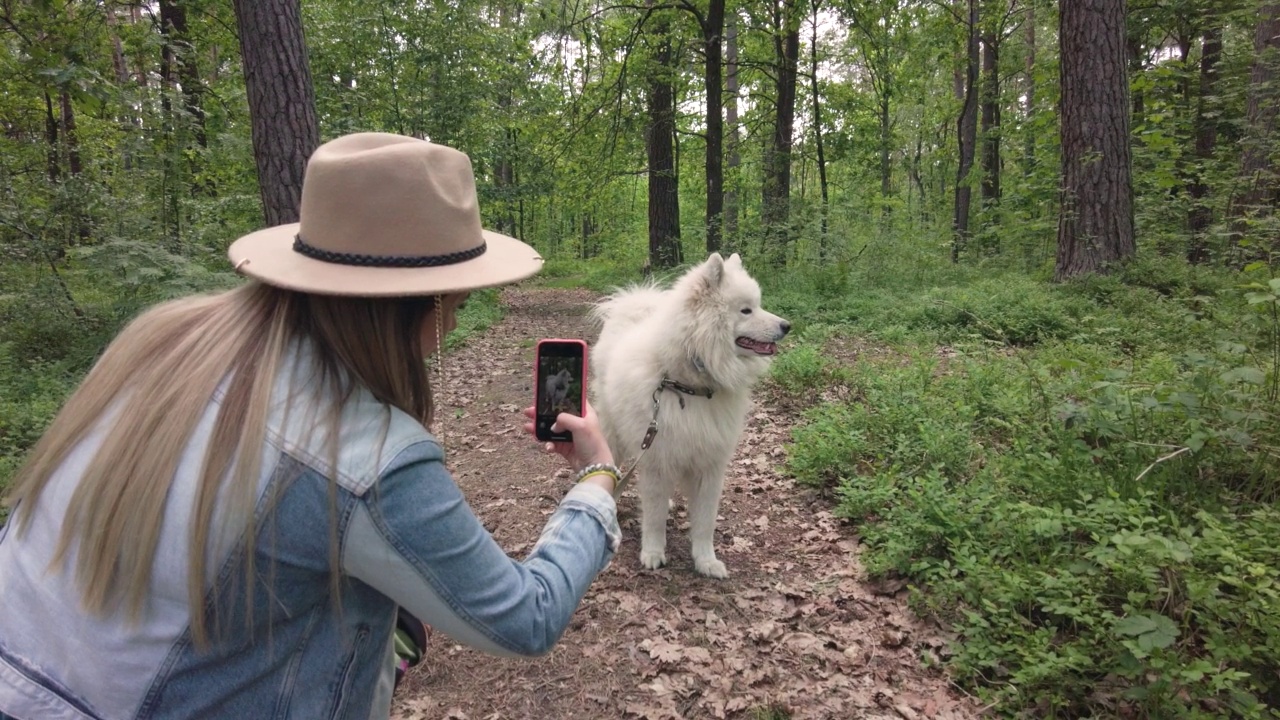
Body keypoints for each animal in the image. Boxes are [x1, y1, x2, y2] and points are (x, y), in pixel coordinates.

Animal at [588, 252, 788, 576]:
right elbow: (654, 517)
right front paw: (653, 553)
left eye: (758, 305)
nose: (787, 325)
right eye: (746, 310)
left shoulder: (709, 466)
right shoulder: (658, 460)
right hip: (614, 435)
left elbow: (705, 522)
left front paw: (706, 561)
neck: (688, 386)